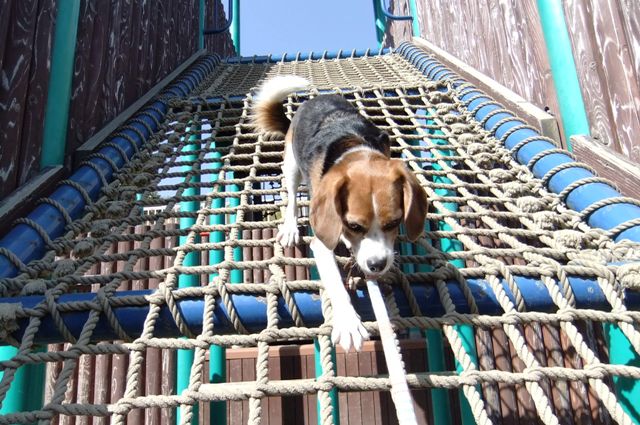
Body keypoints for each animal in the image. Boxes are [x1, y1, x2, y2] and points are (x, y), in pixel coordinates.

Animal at [252, 76, 428, 352]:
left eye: (394, 223)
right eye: (354, 226)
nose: (376, 265)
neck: (355, 149)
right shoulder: (322, 243)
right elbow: (336, 283)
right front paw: (349, 323)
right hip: (291, 165)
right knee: (291, 196)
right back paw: (290, 227)